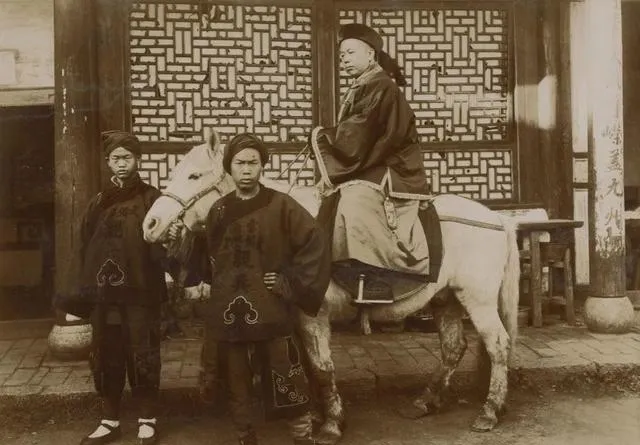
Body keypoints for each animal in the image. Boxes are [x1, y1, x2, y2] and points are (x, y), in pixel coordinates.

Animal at [142, 130, 520, 444]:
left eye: (193, 176)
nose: (152, 224)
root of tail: (499, 219)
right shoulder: (295, 317)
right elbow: (310, 369)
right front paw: (314, 415)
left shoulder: (314, 314)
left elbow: (322, 366)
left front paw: (332, 423)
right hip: (446, 298)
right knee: (454, 348)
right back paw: (426, 401)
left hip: (478, 299)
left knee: (498, 345)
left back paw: (489, 410)